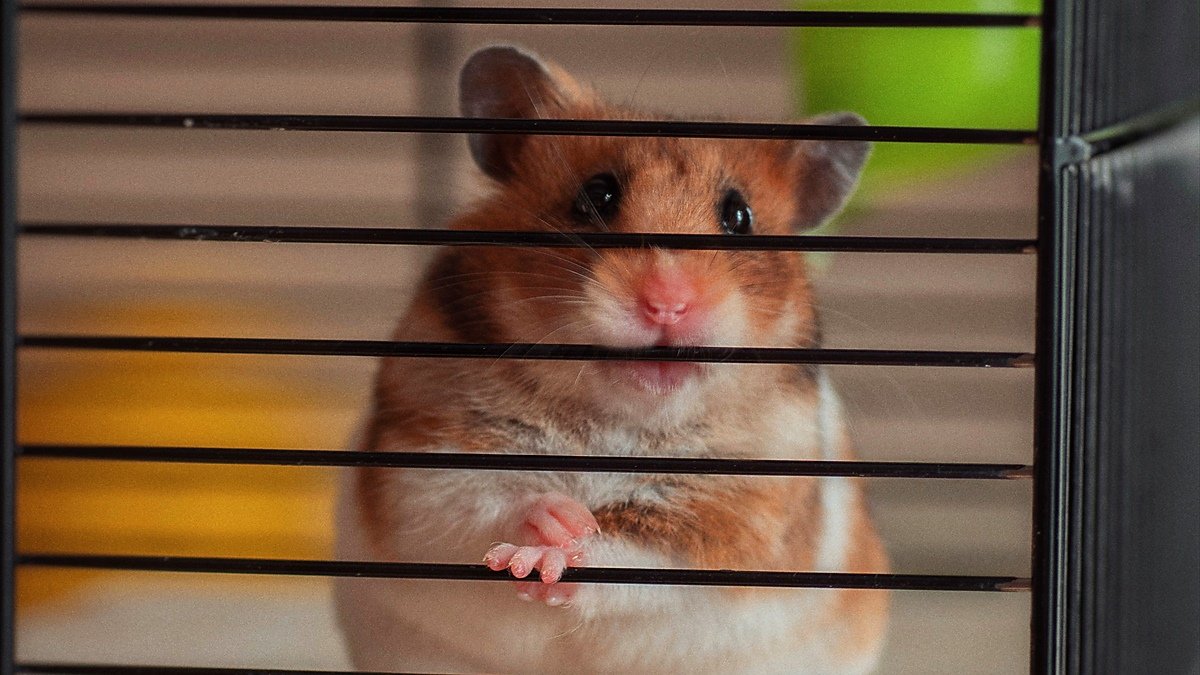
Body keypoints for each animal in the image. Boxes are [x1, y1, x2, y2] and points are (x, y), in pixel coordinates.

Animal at [333, 45, 889, 674]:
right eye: (597, 195)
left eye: (739, 217)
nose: (667, 302)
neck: (616, 419)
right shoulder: (424, 455)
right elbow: (480, 500)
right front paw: (547, 529)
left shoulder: (740, 511)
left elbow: (639, 553)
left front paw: (554, 555)